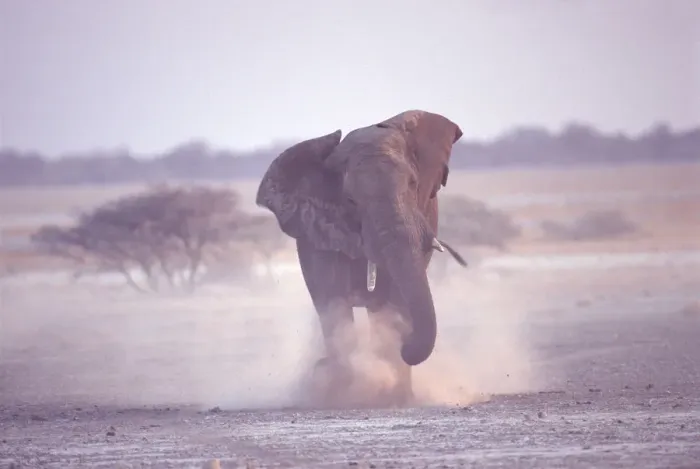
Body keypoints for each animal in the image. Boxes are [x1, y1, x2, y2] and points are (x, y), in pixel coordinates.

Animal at [255, 110, 467, 405]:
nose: (406, 346)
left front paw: (395, 396)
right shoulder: (317, 227)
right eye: (351, 200)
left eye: (413, 184)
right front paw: (343, 392)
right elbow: (332, 297)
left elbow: (397, 299)